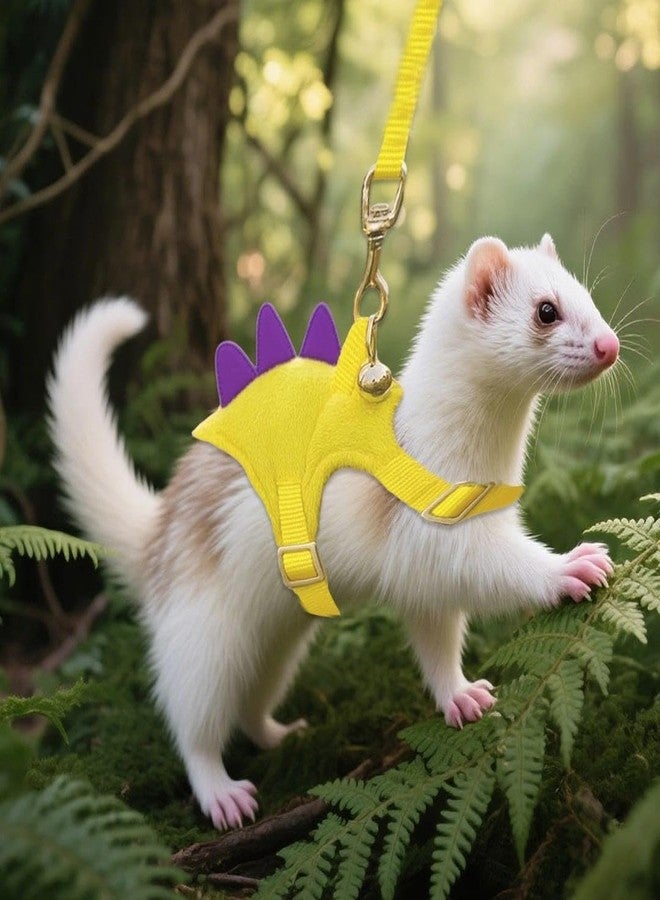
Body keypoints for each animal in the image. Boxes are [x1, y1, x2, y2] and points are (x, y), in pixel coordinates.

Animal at [47, 234, 619, 830]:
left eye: (587, 292)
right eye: (546, 310)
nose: (610, 343)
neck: (475, 466)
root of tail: (160, 530)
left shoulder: (428, 571)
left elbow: (437, 639)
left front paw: (463, 697)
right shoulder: (436, 537)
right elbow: (496, 569)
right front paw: (571, 566)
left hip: (277, 641)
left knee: (252, 702)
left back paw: (283, 731)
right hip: (201, 636)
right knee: (192, 723)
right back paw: (224, 795)